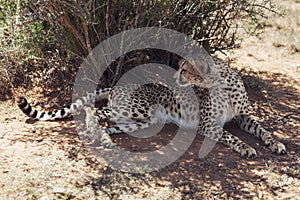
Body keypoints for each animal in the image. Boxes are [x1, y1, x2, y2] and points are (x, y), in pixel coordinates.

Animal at [17, 57, 286, 157]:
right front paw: (247, 148)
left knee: (108, 125)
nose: (174, 77)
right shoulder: (207, 124)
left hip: (145, 121)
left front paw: (276, 144)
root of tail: (118, 85)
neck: (222, 84)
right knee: (93, 111)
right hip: (139, 110)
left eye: (184, 69)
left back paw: (106, 141)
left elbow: (264, 131)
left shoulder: (244, 117)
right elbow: (232, 137)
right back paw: (92, 130)